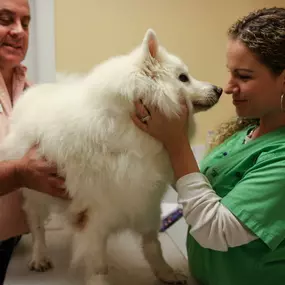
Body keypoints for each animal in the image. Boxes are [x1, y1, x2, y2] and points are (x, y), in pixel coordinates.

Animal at [0, 29, 221, 284]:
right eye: (183, 78)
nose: (219, 89)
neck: (131, 129)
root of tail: (31, 93)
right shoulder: (94, 216)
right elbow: (97, 262)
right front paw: (98, 279)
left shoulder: (146, 201)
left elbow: (152, 245)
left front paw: (165, 273)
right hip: (35, 192)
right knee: (37, 225)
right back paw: (40, 256)